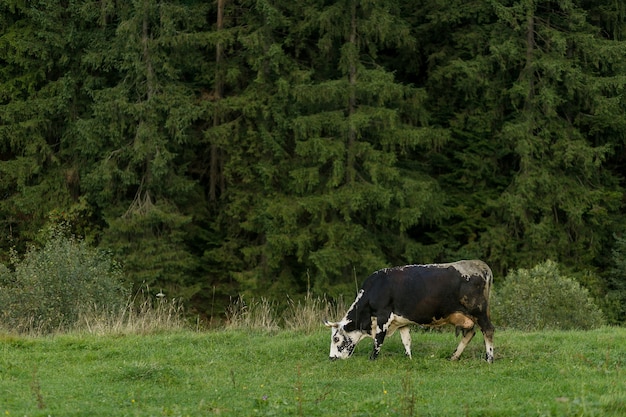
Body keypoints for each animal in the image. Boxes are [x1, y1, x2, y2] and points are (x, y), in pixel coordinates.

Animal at [322, 260, 492, 360]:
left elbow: (378, 340)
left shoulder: (383, 316)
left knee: (488, 330)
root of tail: (480, 264)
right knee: (470, 333)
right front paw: (409, 358)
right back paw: (454, 356)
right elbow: (406, 341)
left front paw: (372, 359)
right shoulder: (401, 322)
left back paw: (489, 358)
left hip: (479, 311)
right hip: (466, 316)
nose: (331, 358)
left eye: (336, 338)